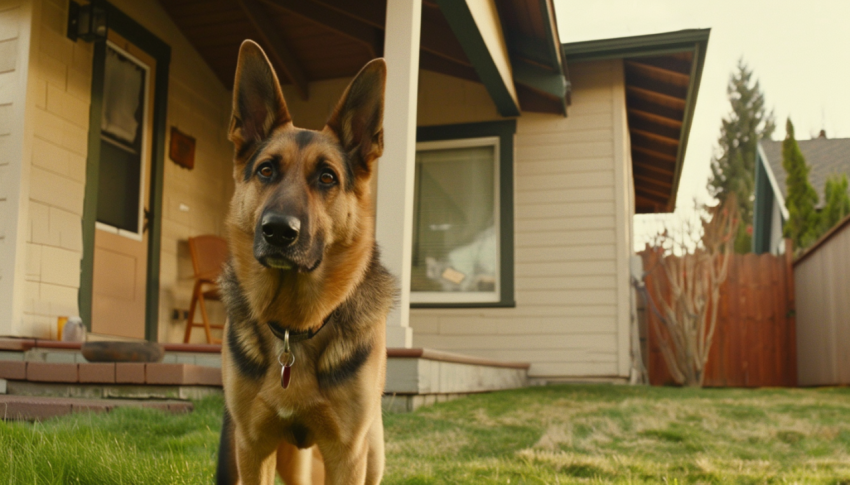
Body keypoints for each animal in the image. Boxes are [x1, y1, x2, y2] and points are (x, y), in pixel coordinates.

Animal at [215, 39, 394, 482]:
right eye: (266, 170)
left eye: (327, 177)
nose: (279, 231)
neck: (293, 331)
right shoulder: (252, 447)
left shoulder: (347, 454)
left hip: (370, 456)